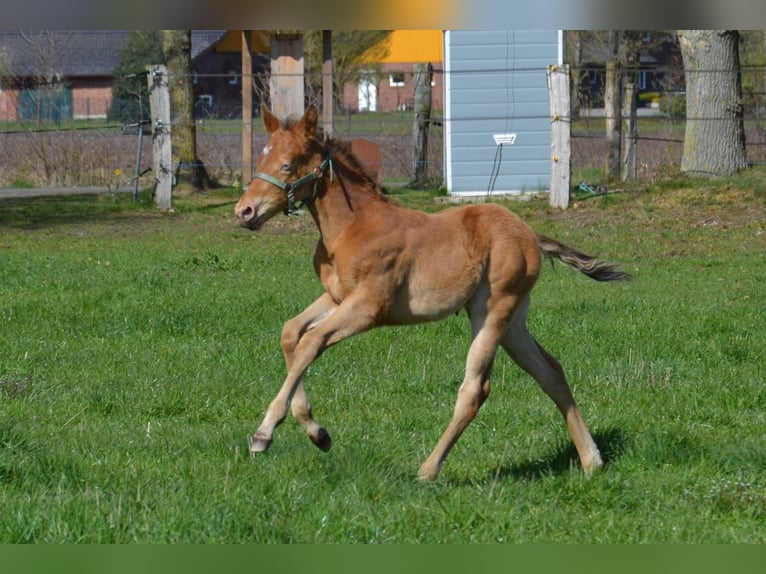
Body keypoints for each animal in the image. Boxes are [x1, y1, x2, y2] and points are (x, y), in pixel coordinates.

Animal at [235, 104, 631, 481]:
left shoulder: (369, 307)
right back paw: (592, 461)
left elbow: (311, 342)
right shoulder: (336, 298)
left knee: (475, 389)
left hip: (492, 311)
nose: (244, 211)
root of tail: (530, 235)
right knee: (550, 372)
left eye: (287, 165)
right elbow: (291, 333)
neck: (352, 228)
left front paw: (264, 434)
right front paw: (317, 433)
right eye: (260, 160)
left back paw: (428, 470)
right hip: (514, 322)